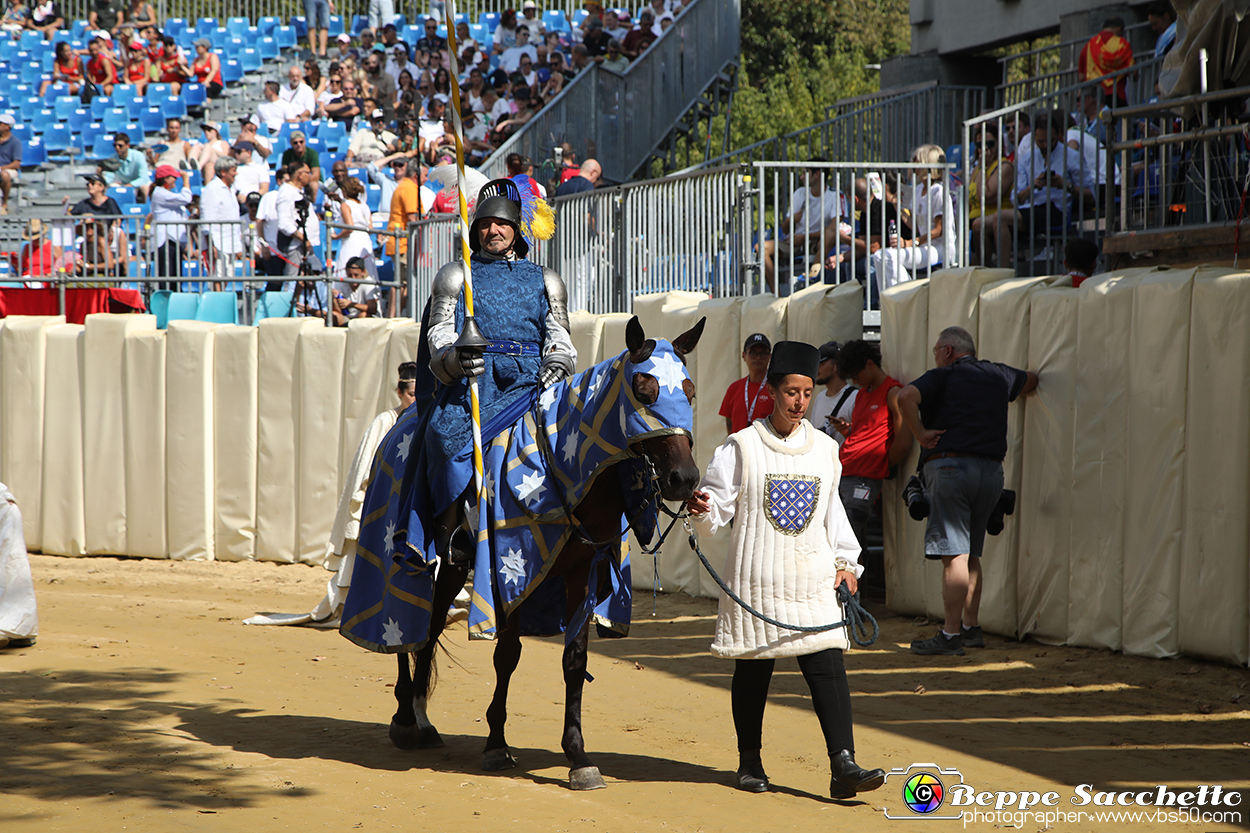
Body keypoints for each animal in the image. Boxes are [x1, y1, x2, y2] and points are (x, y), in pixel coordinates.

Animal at [342, 311, 710, 785]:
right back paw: (409, 718)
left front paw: (578, 756)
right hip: (422, 558)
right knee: (417, 624)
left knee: (430, 625)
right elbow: (506, 655)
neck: (562, 471)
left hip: (456, 568)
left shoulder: (580, 573)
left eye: (690, 392)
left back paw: (419, 717)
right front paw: (496, 744)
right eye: (644, 391)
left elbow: (574, 660)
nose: (685, 479)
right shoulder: (509, 573)